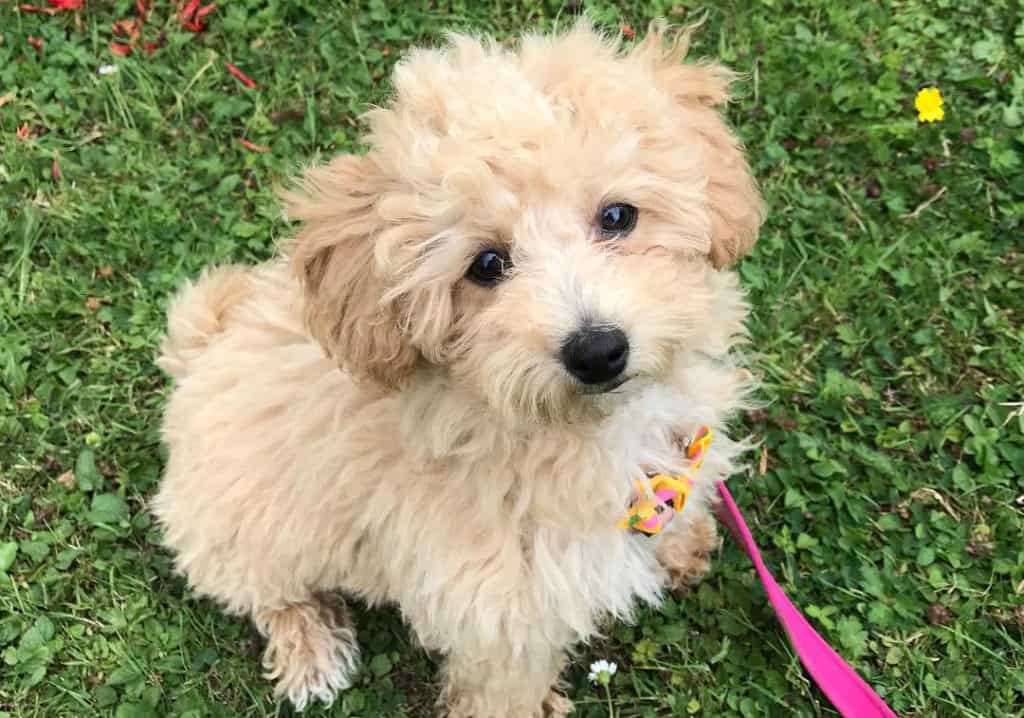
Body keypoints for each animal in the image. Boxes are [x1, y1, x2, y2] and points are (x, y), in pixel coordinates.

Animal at [151, 20, 761, 716]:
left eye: (617, 216)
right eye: (486, 265)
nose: (598, 350)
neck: (581, 429)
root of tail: (200, 355)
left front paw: (682, 544)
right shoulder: (499, 605)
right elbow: (506, 686)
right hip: (242, 529)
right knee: (265, 591)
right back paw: (310, 648)